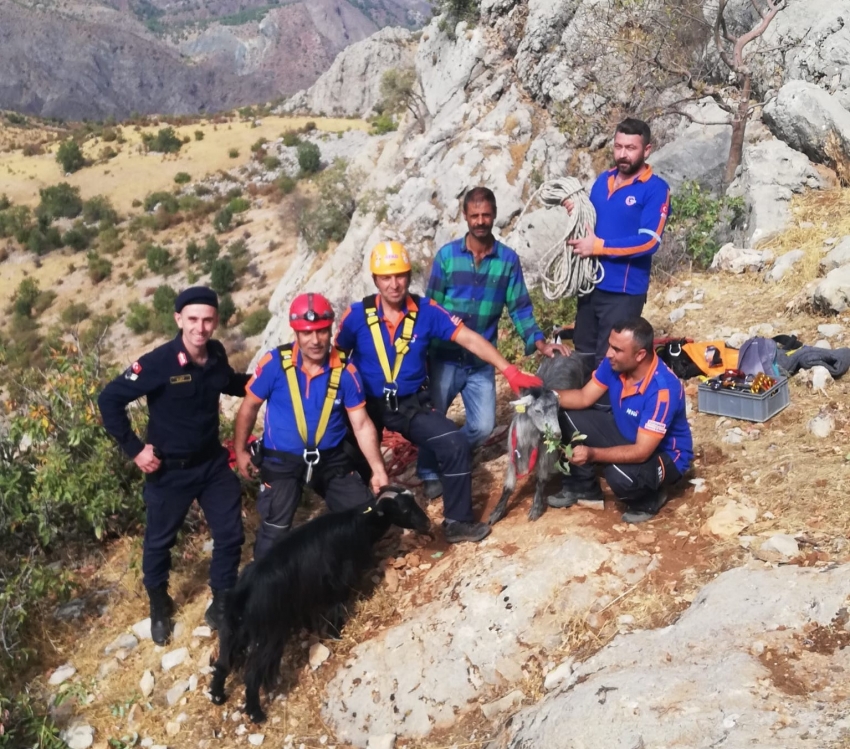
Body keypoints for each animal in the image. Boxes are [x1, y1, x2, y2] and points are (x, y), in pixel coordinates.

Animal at [209, 486, 428, 724]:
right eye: (404, 508)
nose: (426, 524)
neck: (358, 522)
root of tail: (243, 590)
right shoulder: (336, 585)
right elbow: (336, 611)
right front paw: (336, 636)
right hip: (269, 635)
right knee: (251, 675)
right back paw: (256, 714)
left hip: (235, 633)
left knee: (222, 664)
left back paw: (218, 696)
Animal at [484, 352, 588, 524]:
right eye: (538, 410)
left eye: (557, 408)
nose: (557, 434)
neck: (531, 437)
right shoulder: (514, 451)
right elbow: (508, 485)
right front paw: (496, 513)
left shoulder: (546, 452)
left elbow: (541, 478)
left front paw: (536, 508)